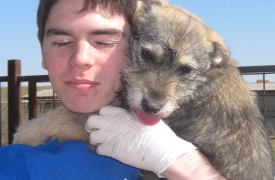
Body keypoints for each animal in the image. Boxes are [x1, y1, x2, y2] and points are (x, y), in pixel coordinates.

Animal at [12, 0, 274, 179]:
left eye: (185, 70)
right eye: (147, 54)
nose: (152, 107)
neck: (201, 82)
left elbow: (67, 115)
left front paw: (27, 131)